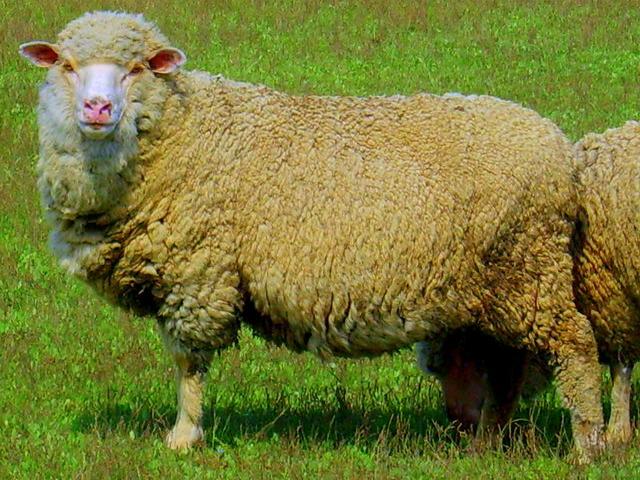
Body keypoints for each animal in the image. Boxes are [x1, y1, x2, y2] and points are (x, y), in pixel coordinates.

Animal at [20, 11, 604, 461]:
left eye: (137, 68)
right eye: (67, 66)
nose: (97, 109)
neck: (179, 129)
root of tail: (560, 148)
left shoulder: (197, 275)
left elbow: (189, 364)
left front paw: (184, 437)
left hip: (531, 269)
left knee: (575, 346)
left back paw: (589, 446)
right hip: (498, 288)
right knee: (506, 366)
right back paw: (487, 444)